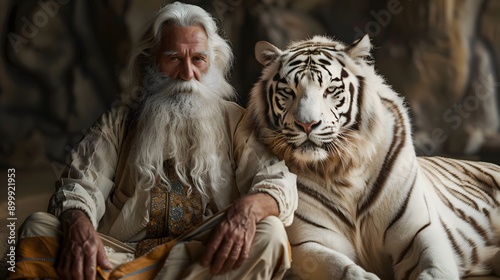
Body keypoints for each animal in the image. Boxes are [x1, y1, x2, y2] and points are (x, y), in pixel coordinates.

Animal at [244, 35, 500, 280]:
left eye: (330, 90)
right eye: (288, 91)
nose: (307, 124)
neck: (341, 170)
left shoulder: (417, 231)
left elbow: (434, 270)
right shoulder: (309, 242)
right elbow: (343, 269)